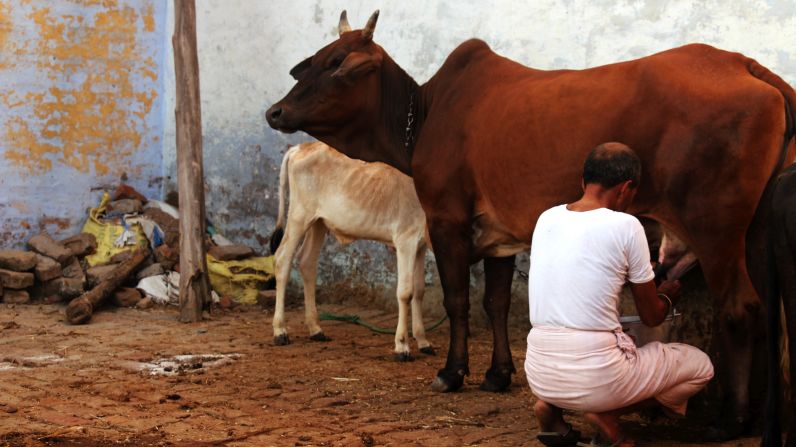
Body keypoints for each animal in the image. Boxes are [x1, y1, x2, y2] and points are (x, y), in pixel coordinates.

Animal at [268, 143, 432, 360]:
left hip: (318, 222)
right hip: (298, 216)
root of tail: (300, 147)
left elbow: (419, 290)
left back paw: (316, 329)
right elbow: (406, 292)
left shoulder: (420, 245)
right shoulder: (406, 240)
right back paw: (280, 331)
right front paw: (402, 346)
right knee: (282, 259)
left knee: (307, 261)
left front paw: (423, 342)